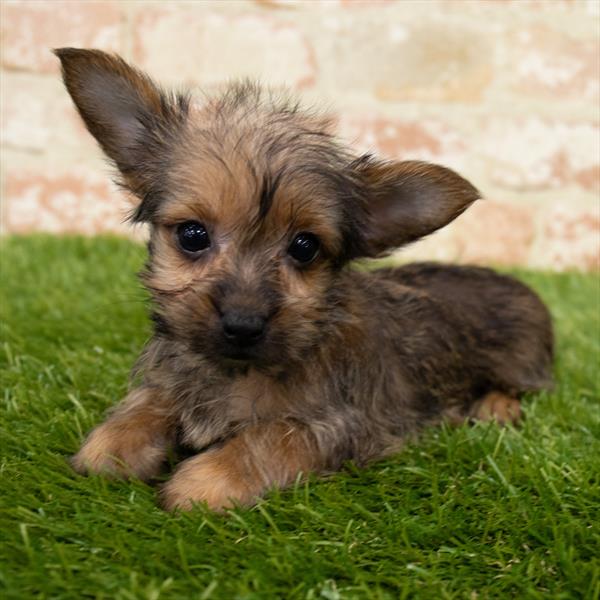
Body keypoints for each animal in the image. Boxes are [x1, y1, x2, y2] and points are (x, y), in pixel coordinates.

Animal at [56, 49, 552, 512]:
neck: (235, 372)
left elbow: (270, 438)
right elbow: (143, 408)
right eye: (192, 235)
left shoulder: (341, 426)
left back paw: (495, 407)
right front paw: (116, 441)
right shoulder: (176, 379)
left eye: (305, 247)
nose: (242, 324)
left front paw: (204, 480)